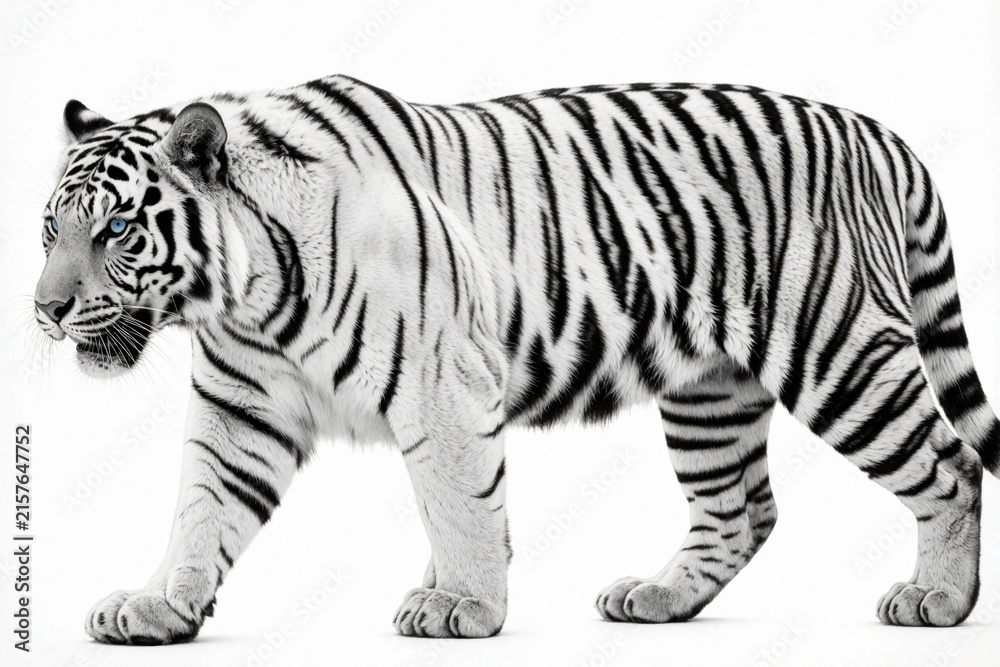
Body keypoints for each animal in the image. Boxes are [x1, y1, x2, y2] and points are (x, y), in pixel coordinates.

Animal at [33, 75, 999, 644]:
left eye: (115, 230)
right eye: (51, 230)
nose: (44, 309)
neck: (245, 295)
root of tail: (876, 130)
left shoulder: (443, 381)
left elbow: (460, 505)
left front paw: (462, 606)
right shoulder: (241, 408)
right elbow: (201, 511)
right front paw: (158, 604)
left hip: (840, 352)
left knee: (950, 464)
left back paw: (939, 601)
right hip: (709, 392)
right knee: (741, 512)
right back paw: (656, 597)